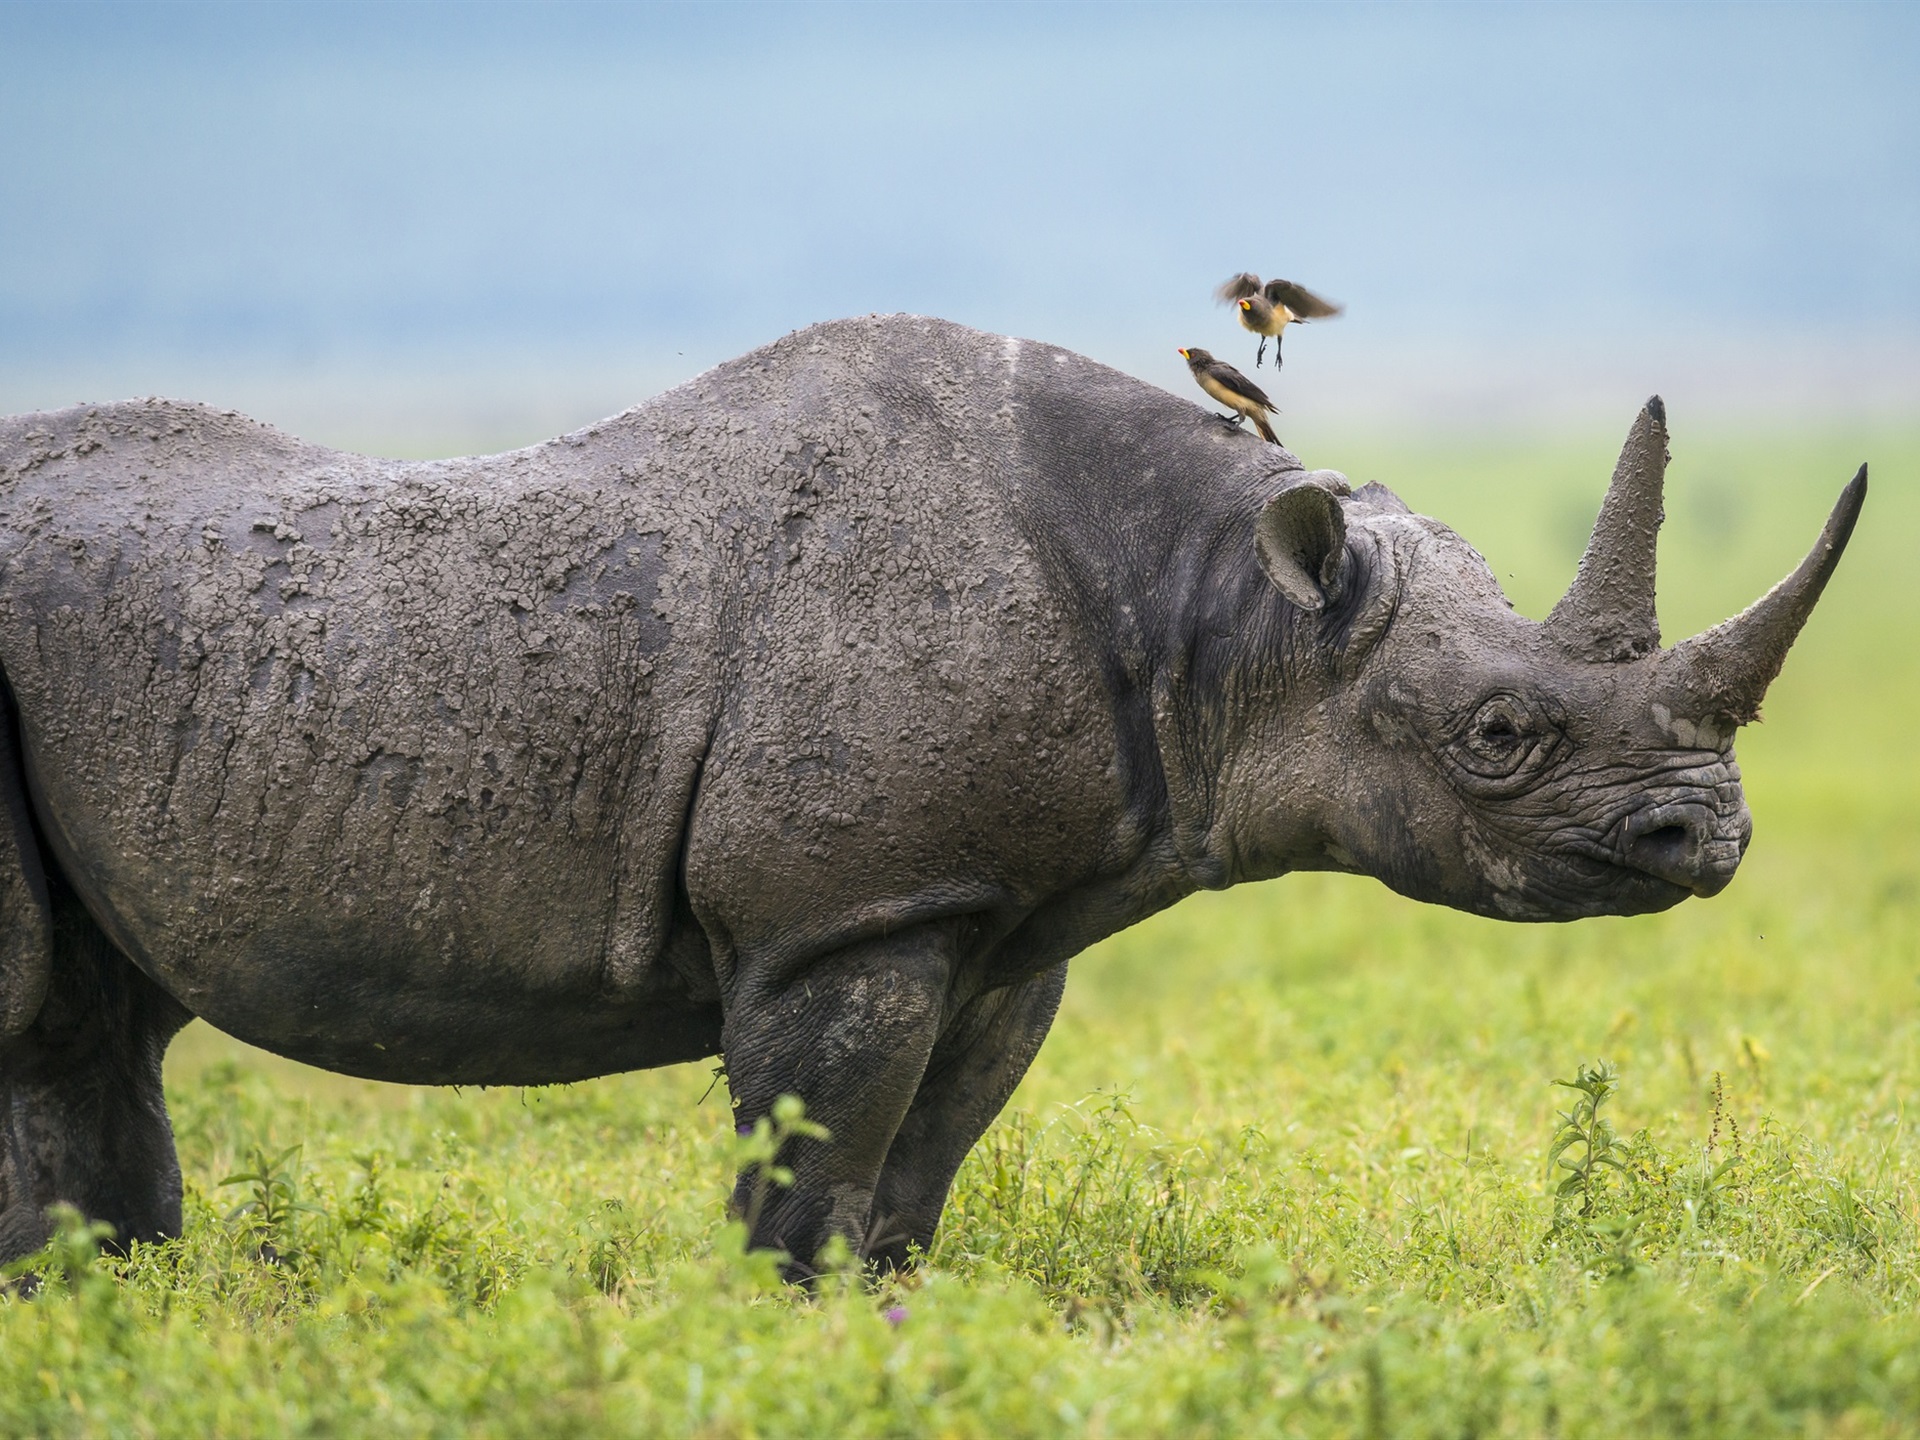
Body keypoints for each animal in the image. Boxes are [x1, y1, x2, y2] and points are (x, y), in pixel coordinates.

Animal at [0, 318, 1858, 1274]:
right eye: (1499, 734)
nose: (1706, 839)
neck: (1229, 610)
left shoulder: (993, 912)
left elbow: (917, 1171)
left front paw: (894, 1336)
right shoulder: (847, 912)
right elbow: (811, 1166)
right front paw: (775, 1339)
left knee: (97, 1023)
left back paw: (120, 1304)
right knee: (40, 1016)